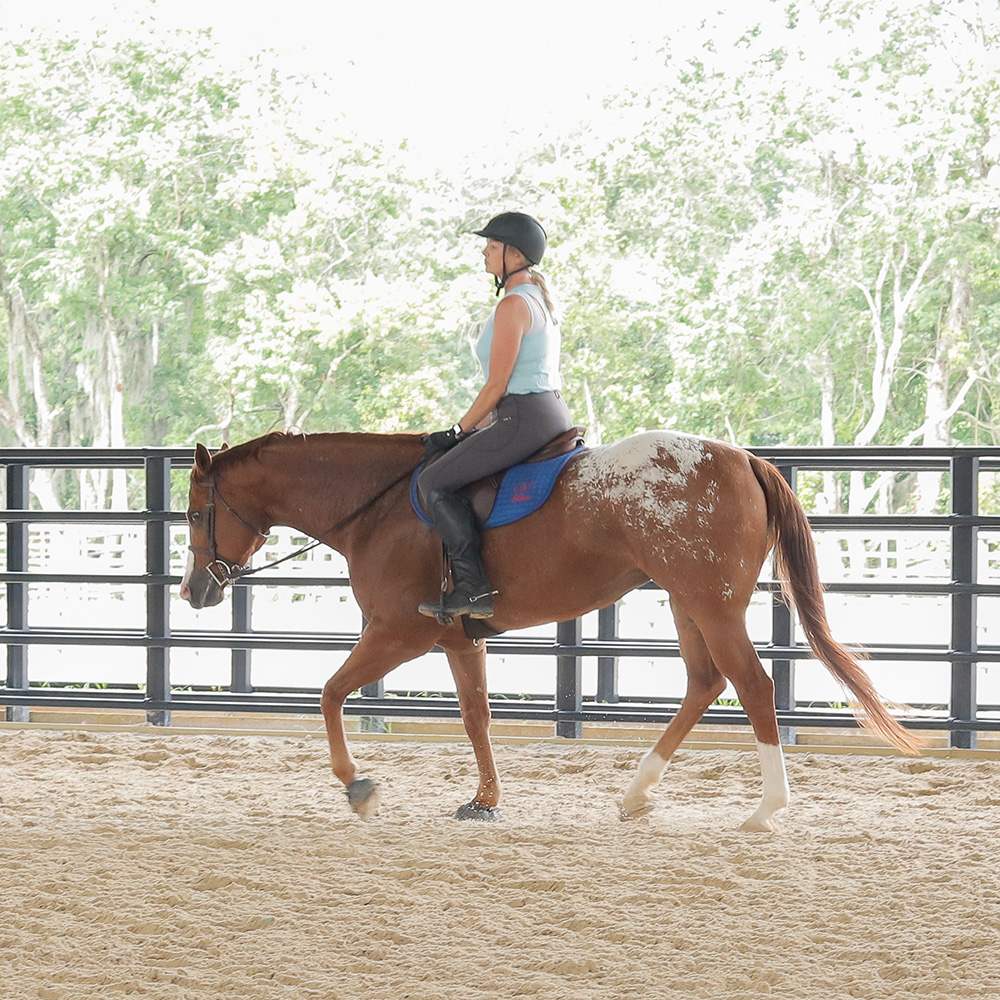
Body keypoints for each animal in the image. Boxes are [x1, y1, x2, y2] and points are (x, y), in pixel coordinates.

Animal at [182, 430, 920, 828]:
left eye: (192, 512)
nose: (194, 591)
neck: (380, 507)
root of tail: (742, 459)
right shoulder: (456, 638)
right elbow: (476, 716)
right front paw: (484, 800)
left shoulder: (398, 633)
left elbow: (331, 693)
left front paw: (356, 784)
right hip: (687, 603)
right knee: (705, 684)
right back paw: (636, 794)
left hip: (711, 604)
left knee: (753, 686)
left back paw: (766, 808)